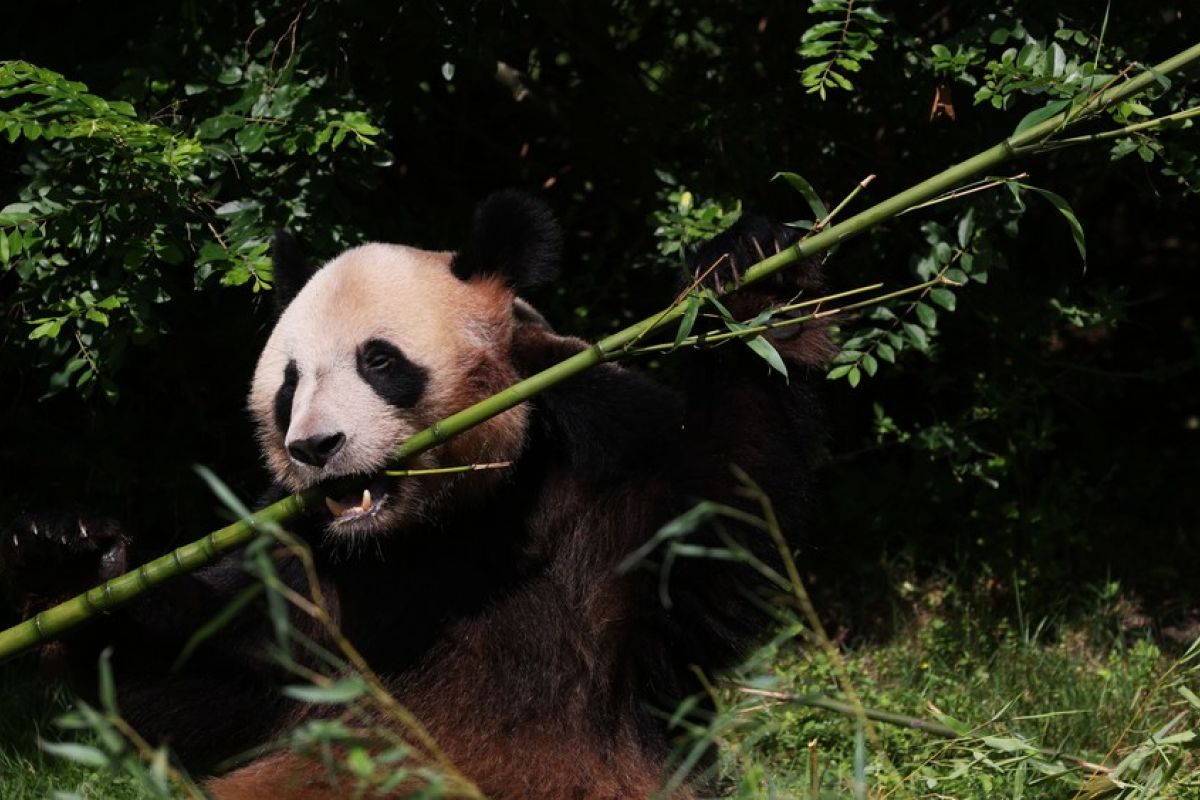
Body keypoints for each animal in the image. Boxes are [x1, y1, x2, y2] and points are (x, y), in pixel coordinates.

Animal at [0, 190, 830, 796]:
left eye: (379, 362)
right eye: (289, 385)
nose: (314, 449)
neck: (439, 527)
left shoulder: (606, 472)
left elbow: (724, 509)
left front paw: (754, 274)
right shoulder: (308, 572)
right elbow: (200, 680)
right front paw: (64, 553)